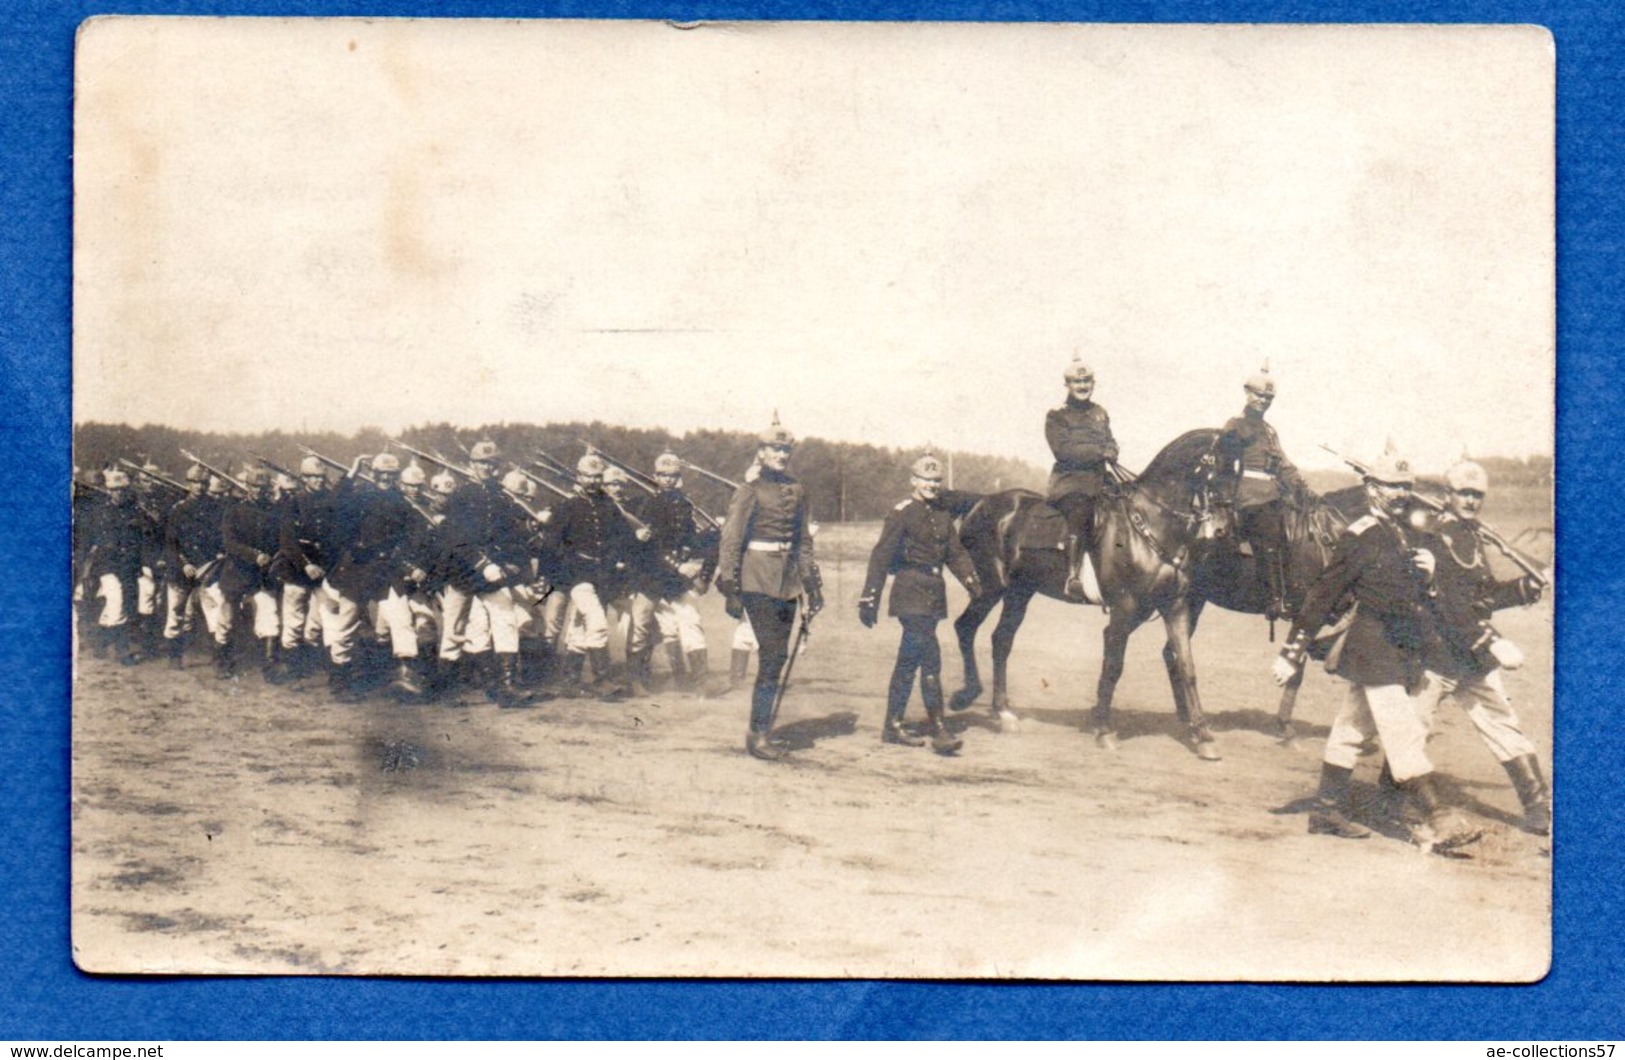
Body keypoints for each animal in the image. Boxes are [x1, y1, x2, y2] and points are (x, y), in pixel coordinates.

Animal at [949, 429, 1235, 760]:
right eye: (1217, 467)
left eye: (1240, 471)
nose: (1222, 529)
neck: (1148, 524)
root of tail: (981, 502)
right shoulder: (1124, 608)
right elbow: (1113, 666)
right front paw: (1104, 730)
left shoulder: (1174, 606)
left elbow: (1186, 666)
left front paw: (1203, 736)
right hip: (991, 586)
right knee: (965, 627)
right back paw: (965, 696)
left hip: (1020, 593)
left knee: (1001, 641)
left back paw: (1004, 713)